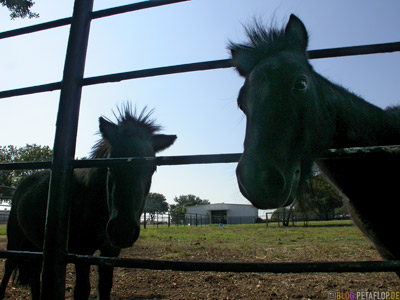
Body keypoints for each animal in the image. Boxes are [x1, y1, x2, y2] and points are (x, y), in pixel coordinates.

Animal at [0, 105, 178, 300]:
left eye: (152, 168)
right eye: (110, 164)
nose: (122, 231)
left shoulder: (110, 252)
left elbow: (105, 287)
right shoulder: (81, 251)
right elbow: (82, 290)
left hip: (35, 246)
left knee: (34, 273)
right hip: (15, 239)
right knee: (9, 268)